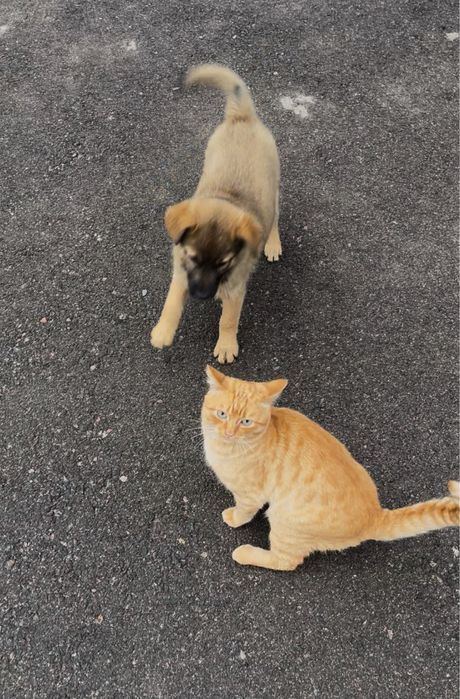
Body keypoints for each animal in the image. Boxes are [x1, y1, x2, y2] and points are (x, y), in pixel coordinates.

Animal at [150, 63, 281, 363]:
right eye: (193, 257)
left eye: (223, 263)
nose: (199, 296)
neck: (226, 198)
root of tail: (241, 117)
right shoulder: (181, 269)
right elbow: (171, 300)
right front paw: (163, 331)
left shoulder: (236, 286)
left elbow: (228, 320)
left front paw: (226, 346)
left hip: (274, 185)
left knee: (275, 218)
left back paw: (273, 244)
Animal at [201, 366, 460, 571]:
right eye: (221, 414)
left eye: (245, 422)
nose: (229, 433)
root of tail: (375, 515)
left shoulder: (250, 494)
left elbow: (244, 511)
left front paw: (234, 517)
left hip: (284, 520)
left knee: (286, 561)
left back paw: (245, 553)